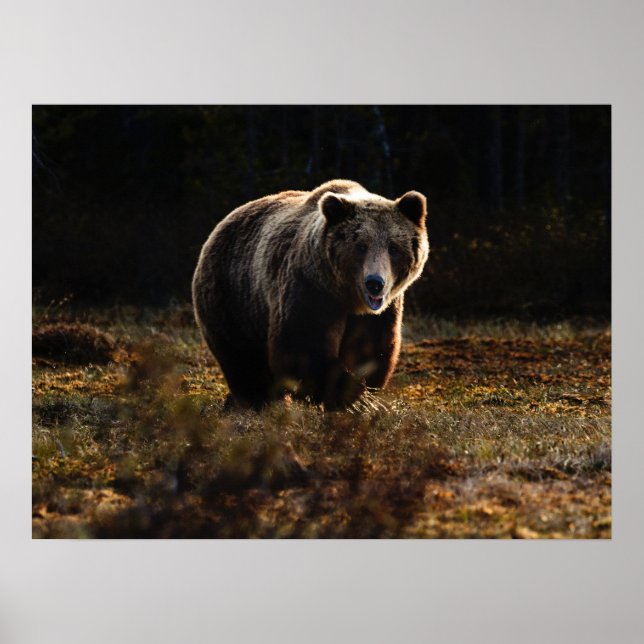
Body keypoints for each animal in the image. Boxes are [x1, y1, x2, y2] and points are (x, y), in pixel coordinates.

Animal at [192, 179, 430, 410]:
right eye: (361, 246)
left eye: (393, 247)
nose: (375, 284)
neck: (347, 297)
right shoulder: (310, 289)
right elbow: (302, 344)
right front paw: (352, 397)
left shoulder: (380, 313)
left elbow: (371, 348)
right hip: (233, 297)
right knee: (243, 357)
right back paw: (258, 401)